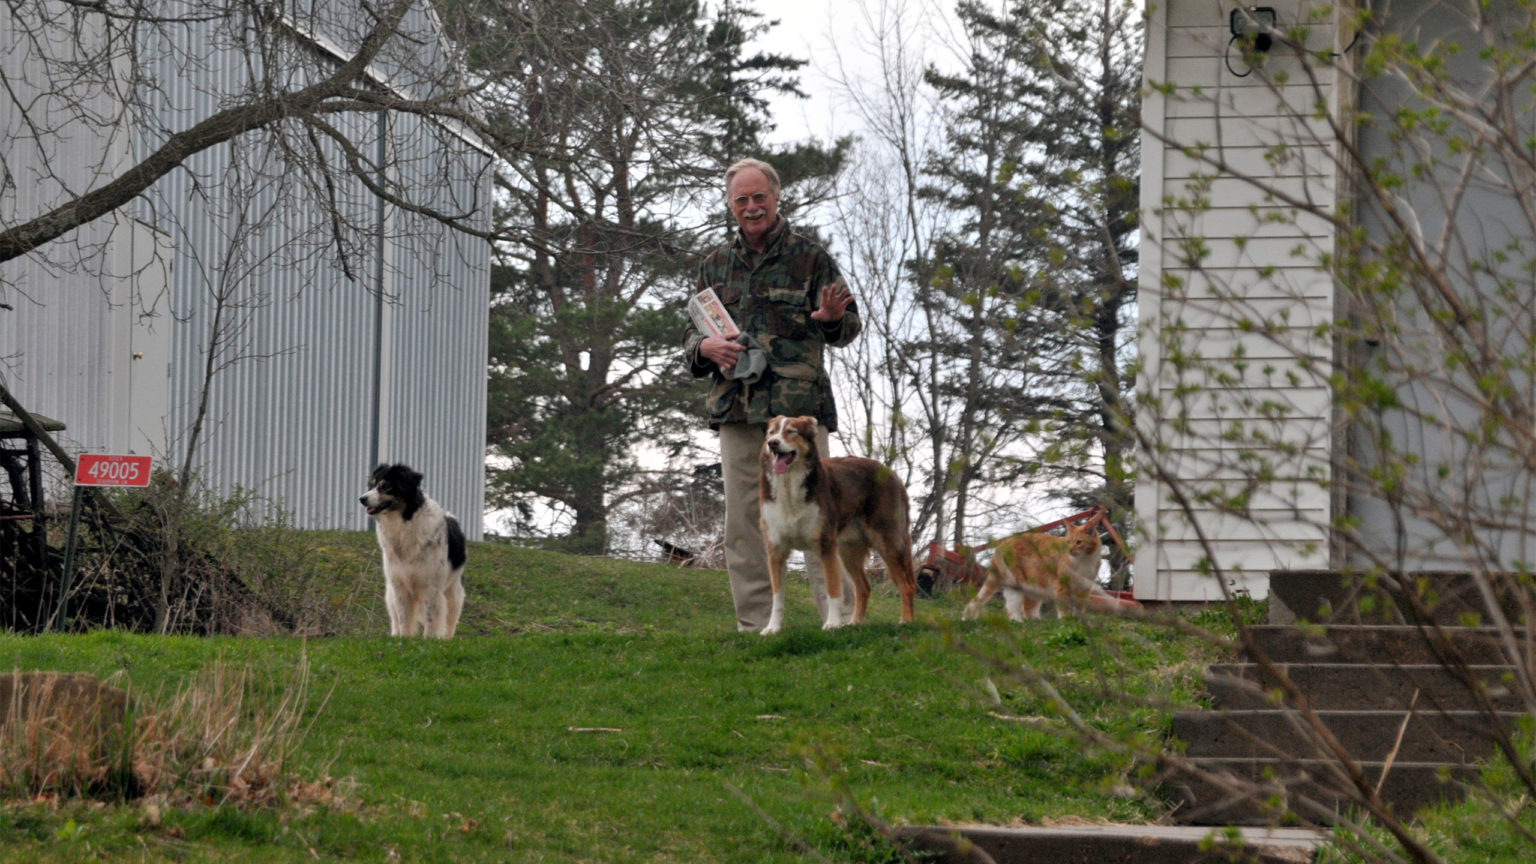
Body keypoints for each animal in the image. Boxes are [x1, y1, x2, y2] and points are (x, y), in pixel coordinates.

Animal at [360, 461, 466, 636]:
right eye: (372, 485)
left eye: (386, 486)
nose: (361, 499)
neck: (403, 524)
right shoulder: (399, 584)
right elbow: (403, 618)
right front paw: (403, 638)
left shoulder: (431, 586)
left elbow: (431, 620)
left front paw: (429, 639)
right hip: (390, 594)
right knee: (395, 619)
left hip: (453, 591)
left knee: (450, 621)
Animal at [761, 415, 915, 630]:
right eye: (771, 433)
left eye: (791, 431)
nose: (773, 443)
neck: (789, 485)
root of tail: (891, 473)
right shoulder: (776, 550)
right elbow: (777, 597)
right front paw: (772, 628)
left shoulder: (826, 546)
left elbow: (833, 590)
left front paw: (832, 624)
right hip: (848, 550)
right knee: (864, 587)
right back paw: (855, 622)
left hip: (887, 542)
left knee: (906, 585)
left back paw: (906, 620)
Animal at [964, 516, 1099, 618]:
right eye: (1068, 542)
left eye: (1078, 542)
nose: (1069, 550)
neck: (1084, 561)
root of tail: (1006, 542)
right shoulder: (1061, 586)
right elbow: (1063, 608)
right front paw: (1066, 621)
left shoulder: (1084, 589)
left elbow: (1079, 609)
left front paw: (1077, 621)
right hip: (1022, 582)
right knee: (1018, 609)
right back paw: (1021, 622)